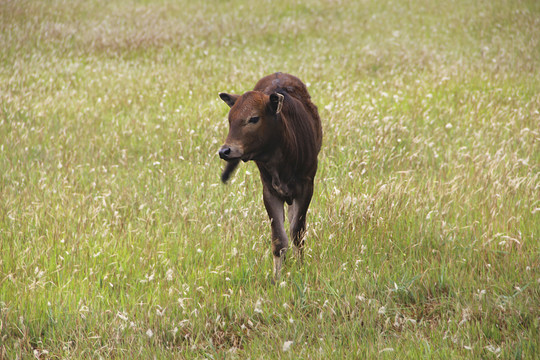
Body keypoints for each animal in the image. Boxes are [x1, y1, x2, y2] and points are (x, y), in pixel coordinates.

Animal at [218, 73, 322, 282]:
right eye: (230, 119)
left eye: (253, 118)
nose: (225, 151)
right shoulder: (270, 191)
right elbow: (279, 240)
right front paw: (277, 277)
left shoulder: (307, 186)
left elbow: (297, 232)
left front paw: (301, 269)